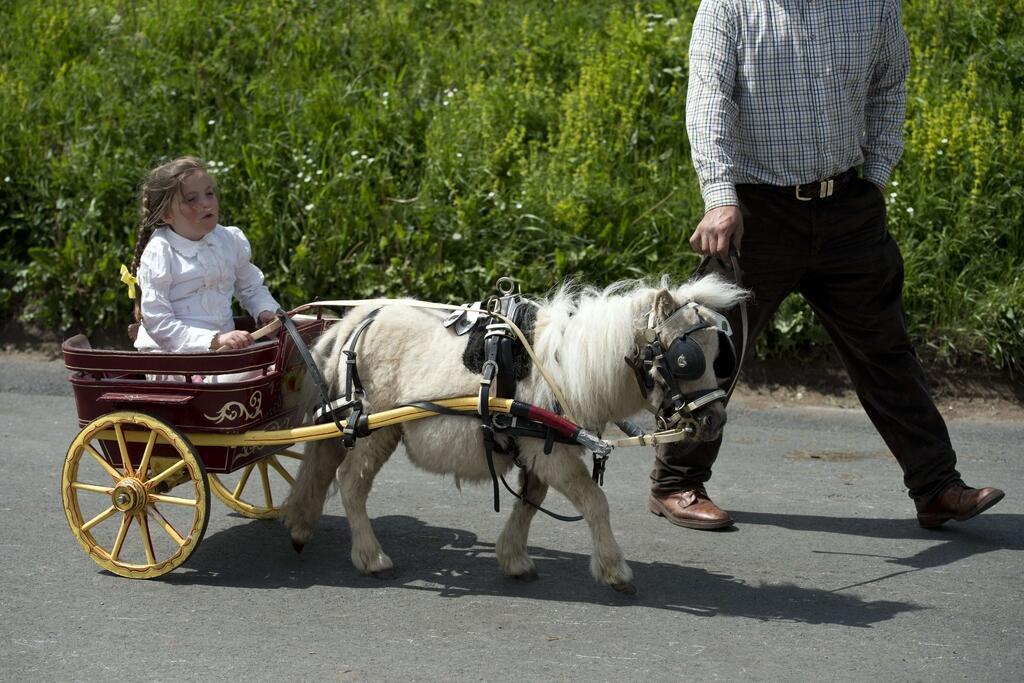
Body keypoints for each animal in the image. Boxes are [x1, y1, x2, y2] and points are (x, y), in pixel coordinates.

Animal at [284, 272, 749, 593]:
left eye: (720, 357)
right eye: (685, 359)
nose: (714, 422)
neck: (568, 365)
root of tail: (357, 320)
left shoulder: (538, 445)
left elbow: (529, 501)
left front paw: (513, 558)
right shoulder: (550, 452)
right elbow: (594, 502)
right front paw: (614, 569)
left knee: (321, 470)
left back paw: (300, 526)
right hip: (376, 427)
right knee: (350, 480)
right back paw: (371, 556)